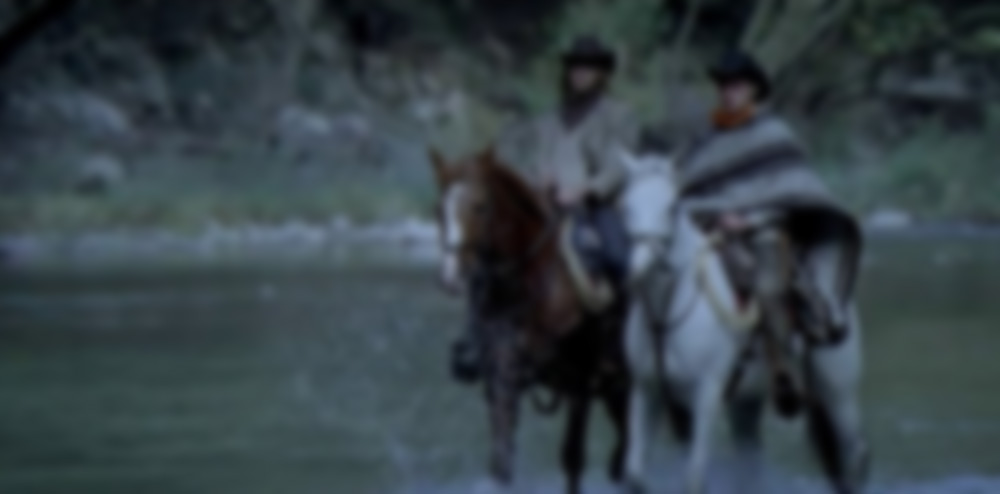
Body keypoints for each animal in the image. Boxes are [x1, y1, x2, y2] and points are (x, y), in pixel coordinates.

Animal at [428, 145, 630, 494]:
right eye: (440, 209)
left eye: (480, 207)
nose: (451, 277)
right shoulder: (502, 378)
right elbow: (502, 460)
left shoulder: (580, 380)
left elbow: (572, 459)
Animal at [614, 149, 869, 494]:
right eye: (625, 206)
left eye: (672, 206)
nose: (637, 271)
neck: (665, 311)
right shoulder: (646, 391)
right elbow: (635, 474)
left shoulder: (707, 395)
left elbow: (694, 477)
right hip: (746, 404)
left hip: (838, 395)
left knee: (854, 460)